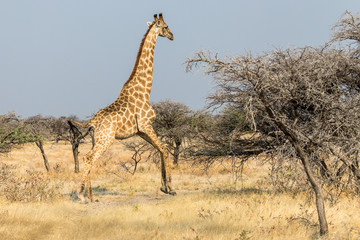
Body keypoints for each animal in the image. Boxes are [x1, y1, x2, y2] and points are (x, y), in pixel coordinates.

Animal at [70, 13, 174, 202]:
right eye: (165, 26)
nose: (172, 36)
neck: (145, 89)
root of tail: (92, 122)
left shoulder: (141, 130)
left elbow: (160, 150)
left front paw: (164, 187)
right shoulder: (146, 124)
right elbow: (164, 149)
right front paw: (170, 188)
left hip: (97, 138)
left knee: (90, 158)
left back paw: (92, 197)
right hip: (106, 139)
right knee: (89, 157)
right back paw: (81, 195)